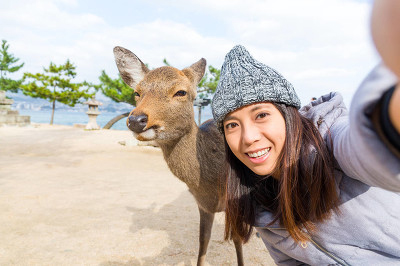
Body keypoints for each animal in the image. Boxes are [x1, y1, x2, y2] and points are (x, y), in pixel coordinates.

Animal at [112, 46, 244, 264]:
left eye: (181, 92)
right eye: (137, 92)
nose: (136, 120)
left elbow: (237, 240)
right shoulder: (203, 205)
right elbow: (203, 240)